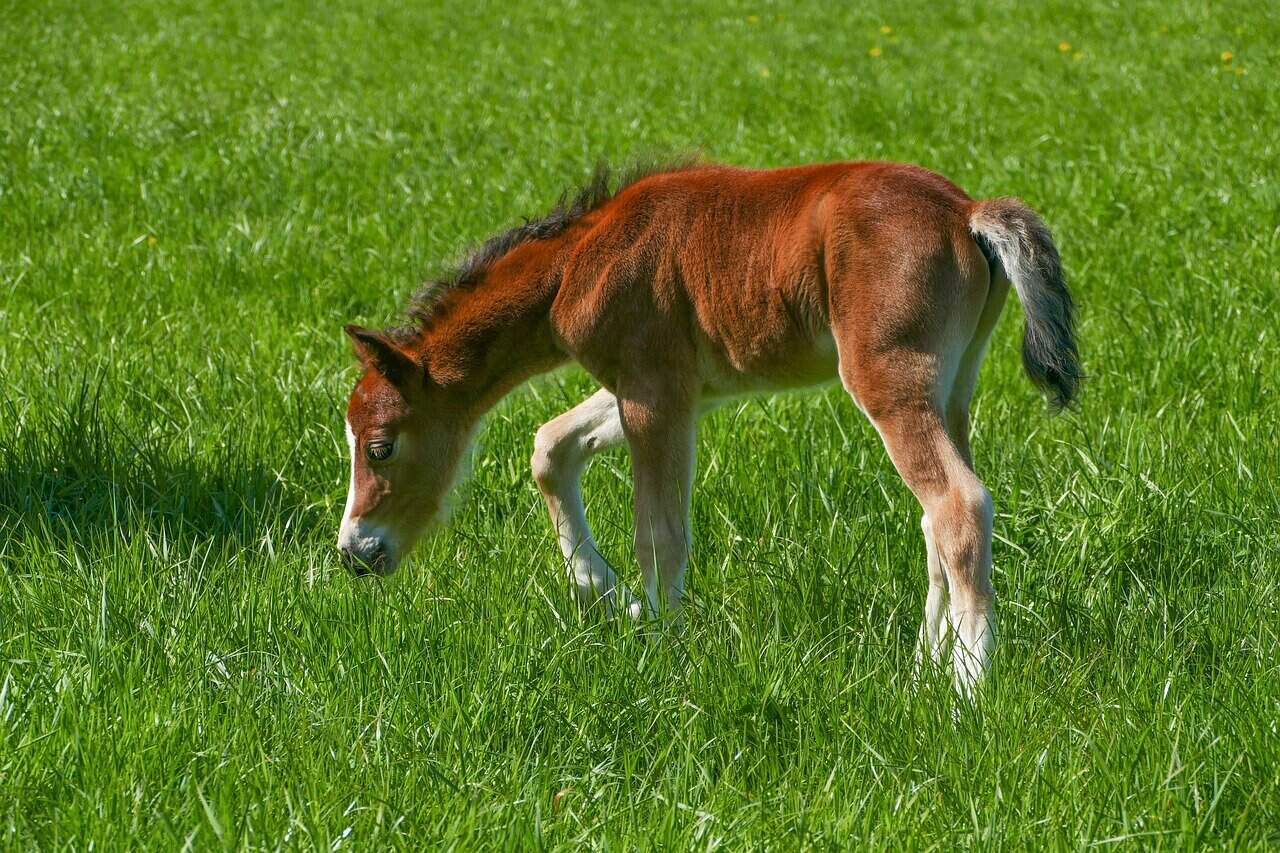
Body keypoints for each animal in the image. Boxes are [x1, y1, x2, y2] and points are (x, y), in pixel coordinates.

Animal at [337, 160, 1080, 695]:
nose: (355, 551)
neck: (579, 261)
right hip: (953, 386)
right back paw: (925, 666)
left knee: (958, 503)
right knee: (936, 515)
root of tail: (967, 213)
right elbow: (552, 446)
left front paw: (661, 649)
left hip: (888, 377)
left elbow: (659, 534)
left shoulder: (652, 391)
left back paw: (966, 690)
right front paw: (615, 600)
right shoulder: (675, 391)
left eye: (380, 446)